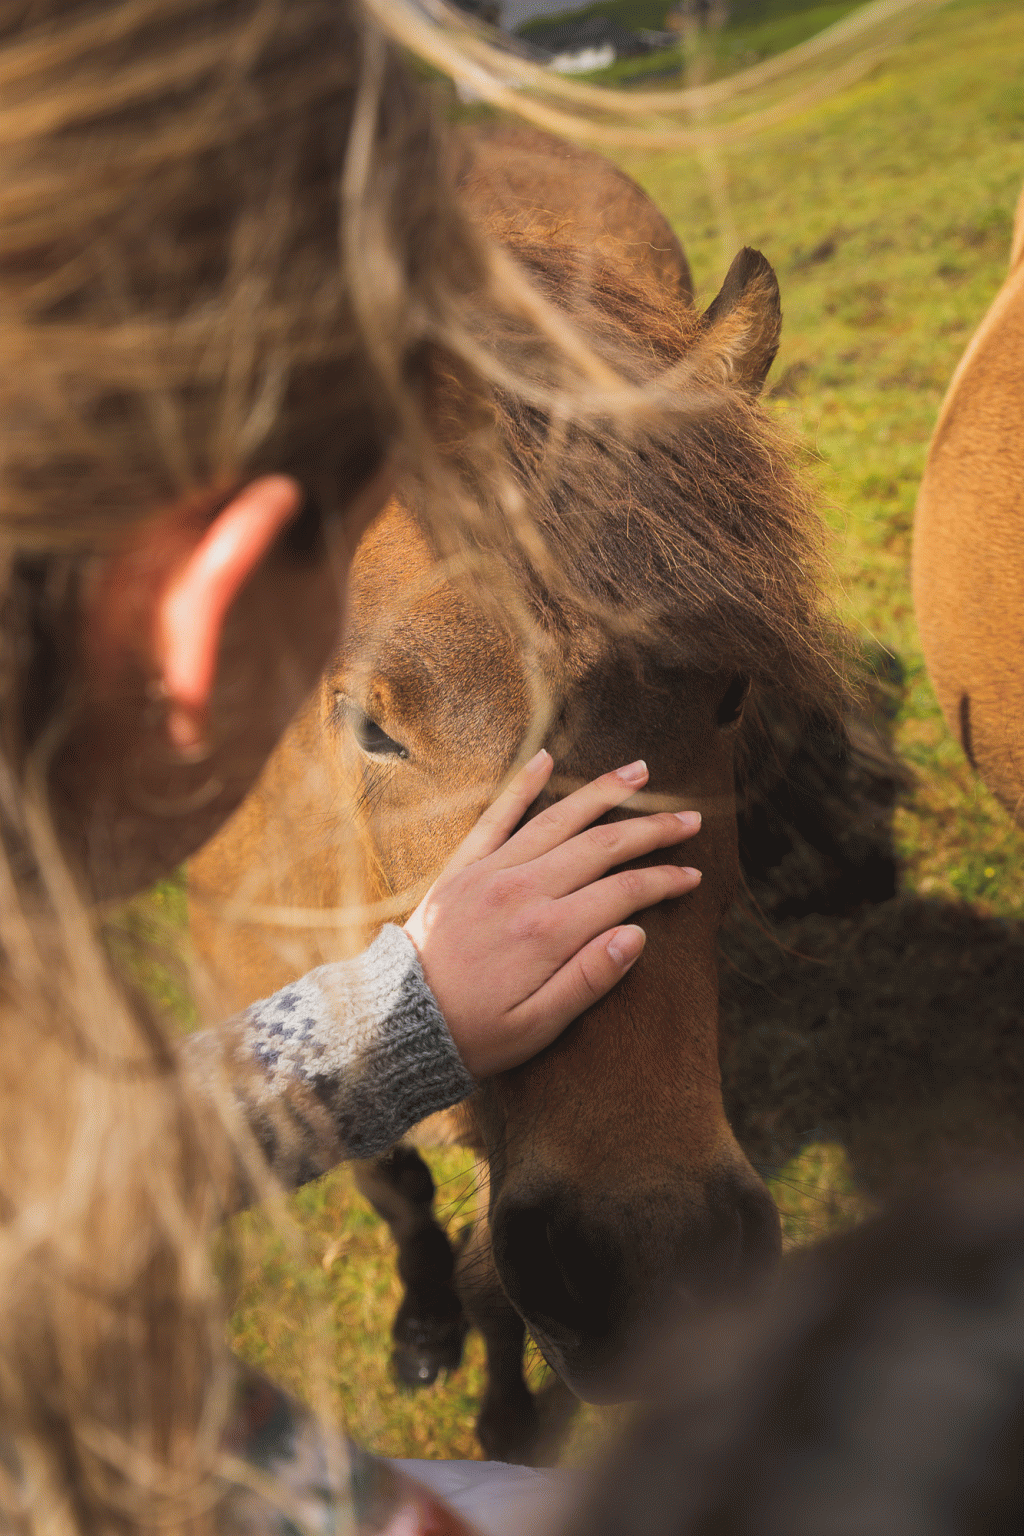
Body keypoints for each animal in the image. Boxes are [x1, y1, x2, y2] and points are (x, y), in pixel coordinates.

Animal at [190, 125, 841, 1456]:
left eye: (733, 690)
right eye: (370, 724)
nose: (657, 1265)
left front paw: (501, 1412)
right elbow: (391, 1184)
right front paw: (424, 1330)